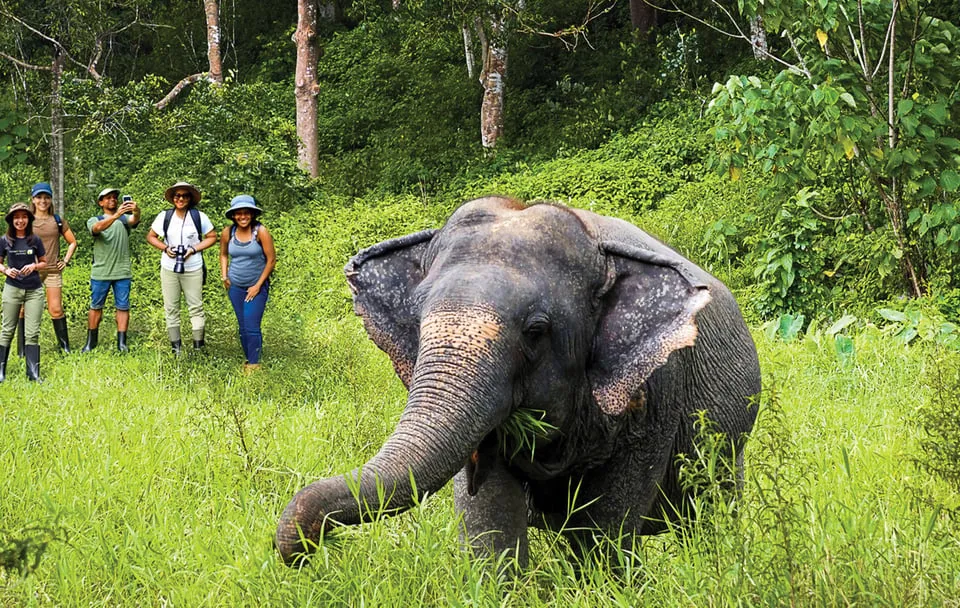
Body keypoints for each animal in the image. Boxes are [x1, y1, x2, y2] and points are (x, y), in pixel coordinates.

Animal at [276, 196, 760, 567]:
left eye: (535, 330)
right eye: (416, 318)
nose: (307, 549)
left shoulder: (658, 390)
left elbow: (606, 522)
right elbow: (488, 515)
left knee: (709, 511)